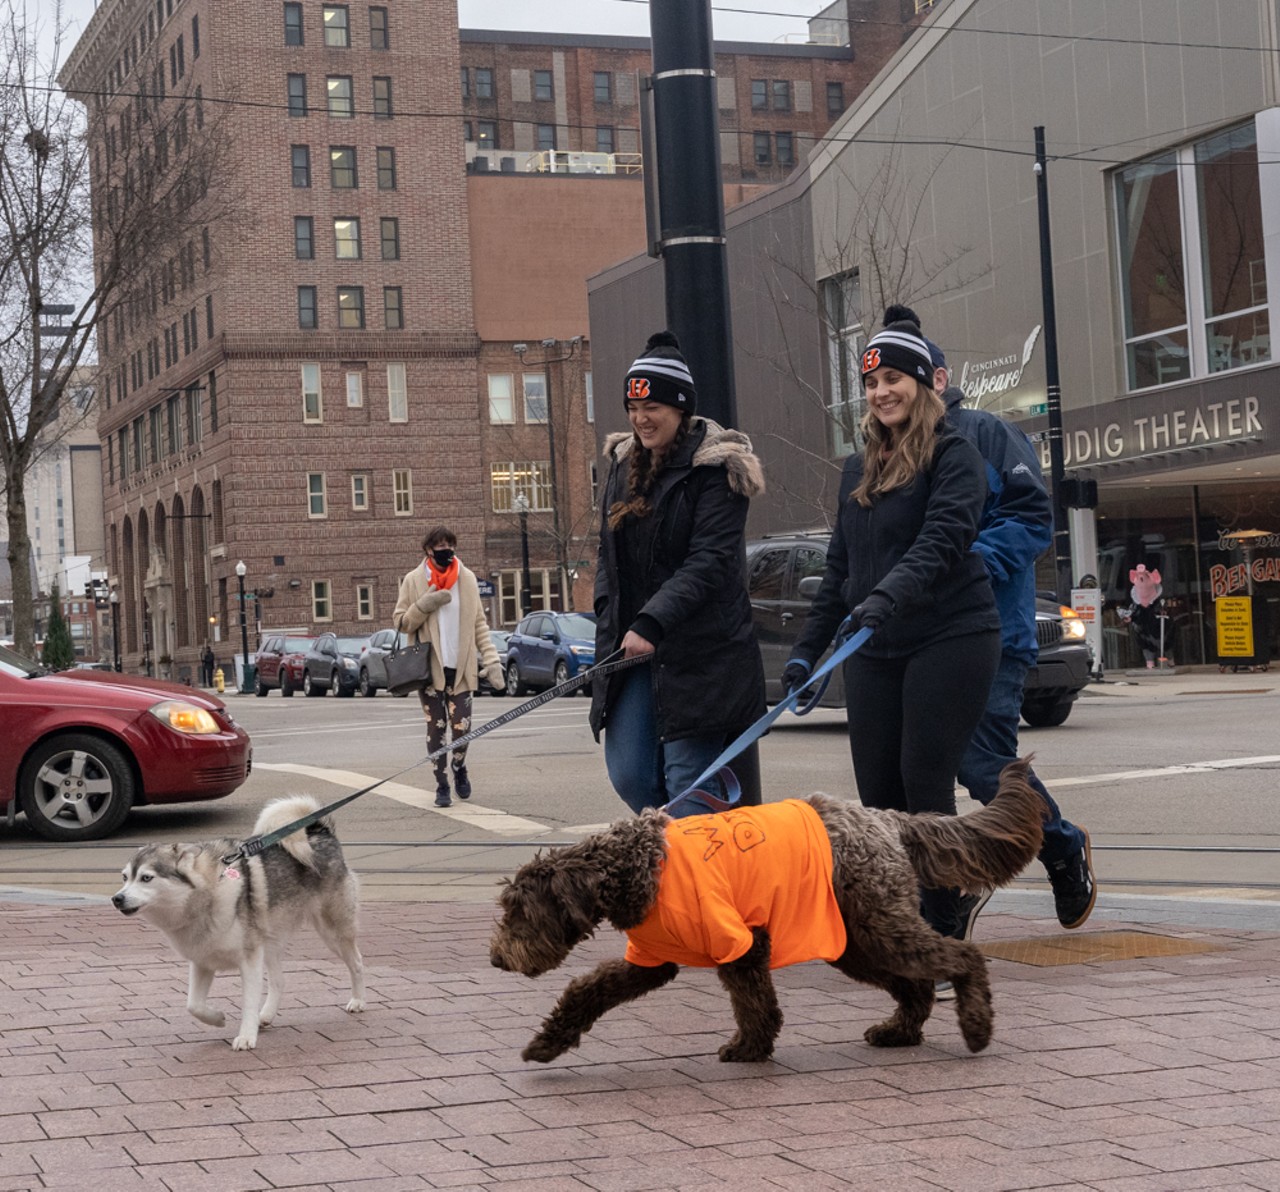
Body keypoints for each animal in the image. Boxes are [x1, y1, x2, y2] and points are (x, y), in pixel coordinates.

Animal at [110, 798, 366, 1049]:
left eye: (146, 878)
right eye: (125, 877)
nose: (116, 898)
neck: (209, 892)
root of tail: (319, 831)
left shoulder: (249, 960)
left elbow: (248, 1004)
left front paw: (246, 1037)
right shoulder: (202, 962)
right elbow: (193, 1005)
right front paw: (217, 1018)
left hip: (333, 933)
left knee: (357, 963)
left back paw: (358, 1001)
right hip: (270, 943)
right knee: (279, 981)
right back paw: (267, 1016)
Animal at [494, 752, 1044, 1065]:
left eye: (521, 913)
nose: (498, 959)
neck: (635, 862)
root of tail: (884, 818)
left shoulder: (742, 943)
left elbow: (754, 1001)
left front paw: (750, 1048)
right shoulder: (651, 959)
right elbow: (588, 990)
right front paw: (548, 1042)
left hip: (877, 927)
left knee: (962, 958)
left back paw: (976, 1028)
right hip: (857, 941)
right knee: (917, 986)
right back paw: (899, 1032)